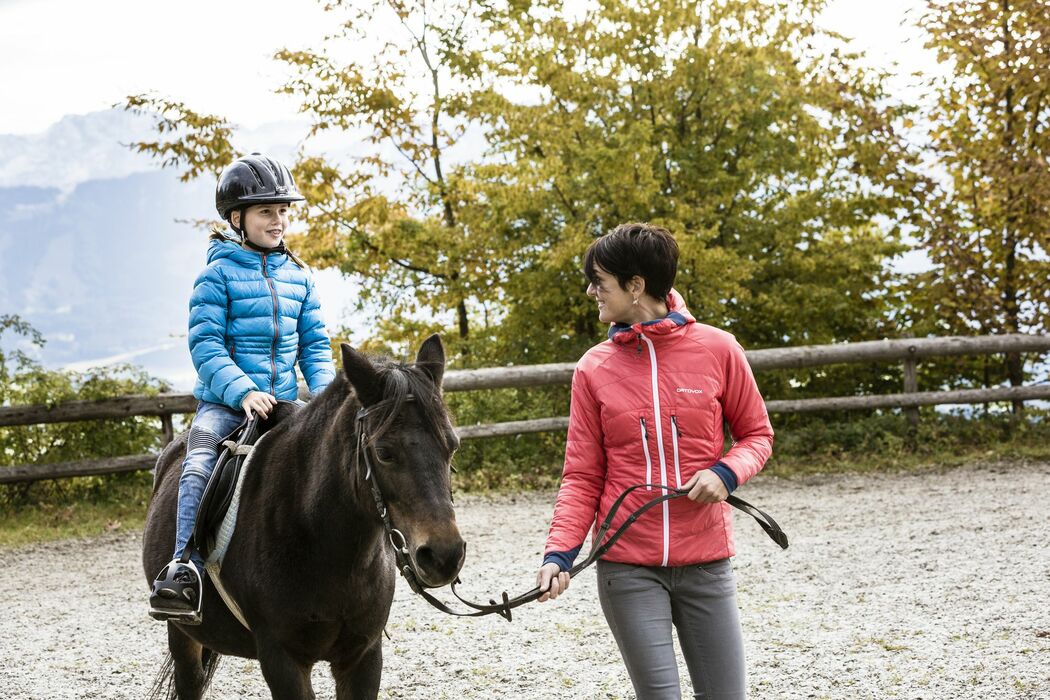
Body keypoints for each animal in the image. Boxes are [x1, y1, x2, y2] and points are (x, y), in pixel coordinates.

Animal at [142, 335, 464, 696]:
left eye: (452, 445)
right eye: (384, 452)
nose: (443, 555)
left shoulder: (364, 656)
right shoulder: (283, 660)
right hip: (181, 633)